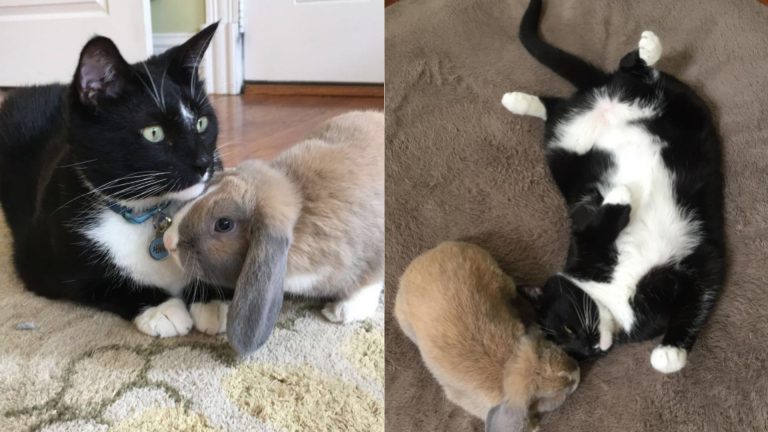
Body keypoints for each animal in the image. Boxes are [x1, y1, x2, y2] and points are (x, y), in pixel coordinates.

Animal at [0, 22, 231, 338]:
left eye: (201, 123)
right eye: (154, 133)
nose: (204, 163)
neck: (147, 210)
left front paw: (214, 298)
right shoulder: (39, 260)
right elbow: (95, 283)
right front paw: (163, 309)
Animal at [504, 0, 728, 374]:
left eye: (568, 328)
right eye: (574, 351)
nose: (590, 344)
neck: (615, 293)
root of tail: (597, 97)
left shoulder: (697, 255)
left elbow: (699, 298)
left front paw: (669, 352)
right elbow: (699, 296)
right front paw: (670, 353)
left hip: (684, 102)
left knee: (636, 72)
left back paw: (647, 49)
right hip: (563, 147)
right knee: (554, 107)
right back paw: (518, 100)